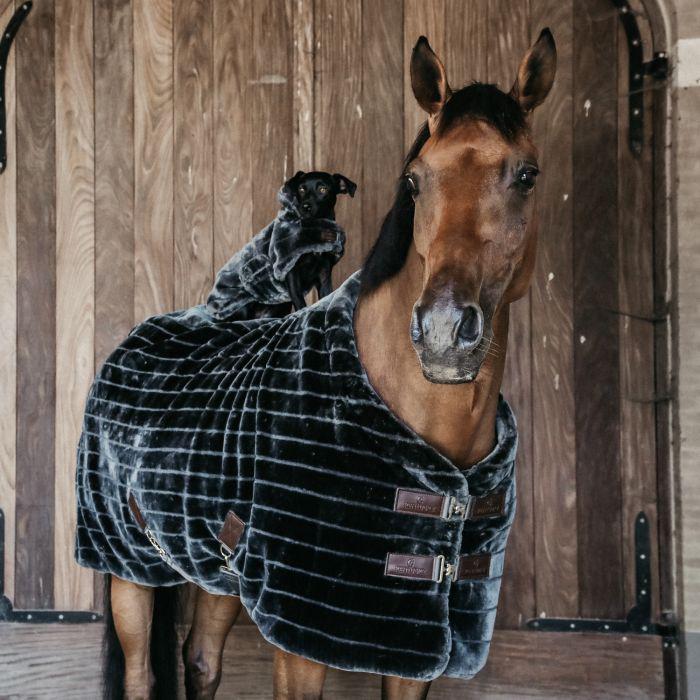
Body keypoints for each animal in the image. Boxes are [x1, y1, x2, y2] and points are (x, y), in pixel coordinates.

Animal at [98, 29, 556, 700]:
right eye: (414, 181)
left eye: (527, 174)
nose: (443, 331)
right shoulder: (300, 639)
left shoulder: (412, 645)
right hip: (128, 567)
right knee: (140, 671)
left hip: (217, 571)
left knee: (201, 658)